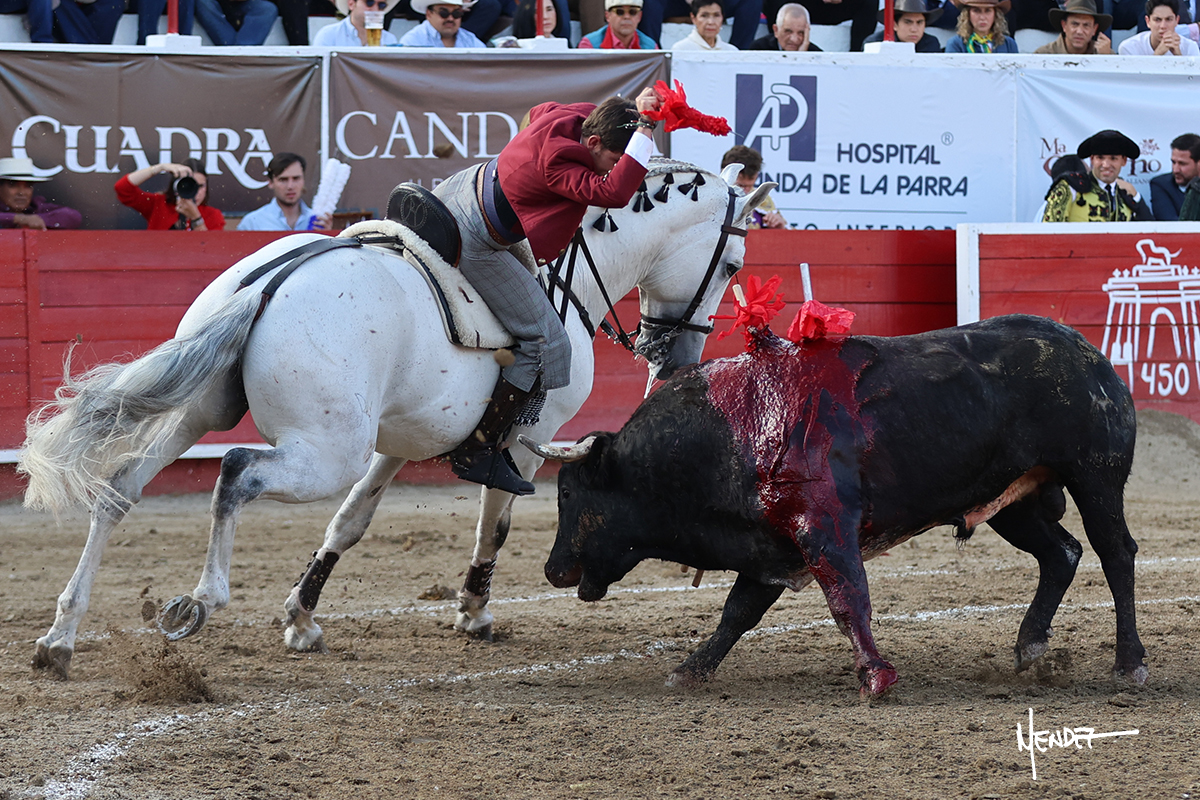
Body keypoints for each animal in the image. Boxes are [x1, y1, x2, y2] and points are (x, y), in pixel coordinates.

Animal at [19, 158, 775, 678]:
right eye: (733, 264)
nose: (674, 359)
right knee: (233, 472)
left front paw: (301, 618)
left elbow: (351, 521)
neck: (568, 278)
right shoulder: (525, 441)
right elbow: (495, 524)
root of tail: (277, 277)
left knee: (121, 489)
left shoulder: (403, 440)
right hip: (325, 449)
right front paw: (474, 611)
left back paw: (60, 637)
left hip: (205, 411)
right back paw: (199, 601)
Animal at [520, 314, 1147, 696]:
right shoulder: (770, 544)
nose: (552, 569)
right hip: (1012, 500)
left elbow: (848, 601)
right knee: (1061, 553)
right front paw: (689, 671)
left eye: (569, 493)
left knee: (1115, 552)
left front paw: (876, 678)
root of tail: (1086, 351)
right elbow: (737, 613)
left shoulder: (823, 528)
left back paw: (1129, 663)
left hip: (1095, 477)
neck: (729, 429)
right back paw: (1030, 646)